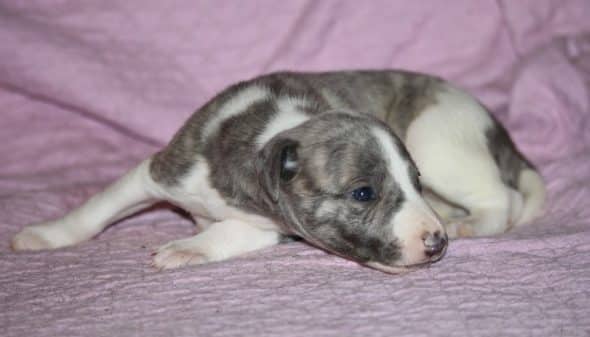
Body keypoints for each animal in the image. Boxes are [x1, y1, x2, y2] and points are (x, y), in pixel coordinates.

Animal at [9, 71, 548, 272]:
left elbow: (227, 231)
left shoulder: (273, 225)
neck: (277, 130)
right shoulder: (161, 171)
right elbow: (99, 206)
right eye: (363, 193)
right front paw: (47, 234)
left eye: (412, 183)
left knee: (504, 198)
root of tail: (495, 128)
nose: (436, 243)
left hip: (436, 143)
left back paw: (472, 221)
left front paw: (186, 246)